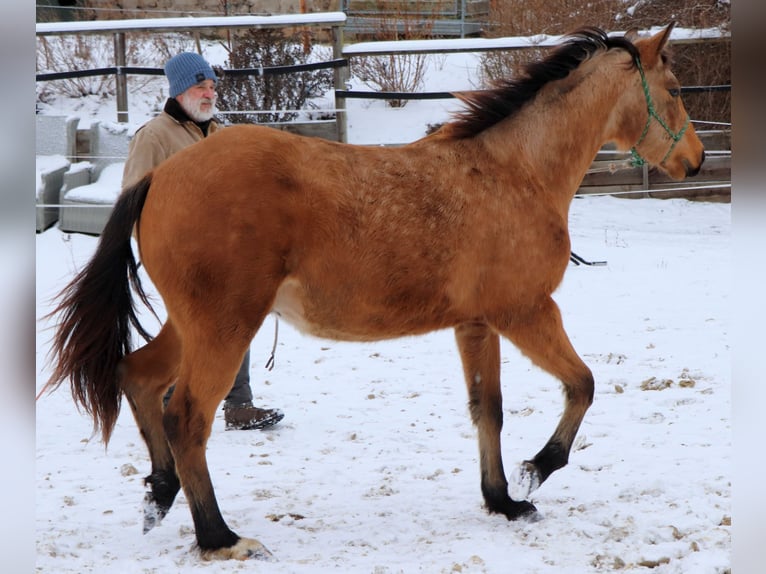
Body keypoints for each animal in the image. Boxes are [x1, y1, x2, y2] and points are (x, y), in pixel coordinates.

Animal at [40, 24, 704, 560]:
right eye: (674, 89)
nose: (696, 162)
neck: (513, 173)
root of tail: (158, 176)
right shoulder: (527, 312)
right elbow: (582, 385)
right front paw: (536, 471)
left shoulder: (477, 324)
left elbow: (488, 409)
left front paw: (503, 500)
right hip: (225, 327)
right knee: (187, 418)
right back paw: (221, 538)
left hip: (193, 326)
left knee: (138, 376)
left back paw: (159, 493)